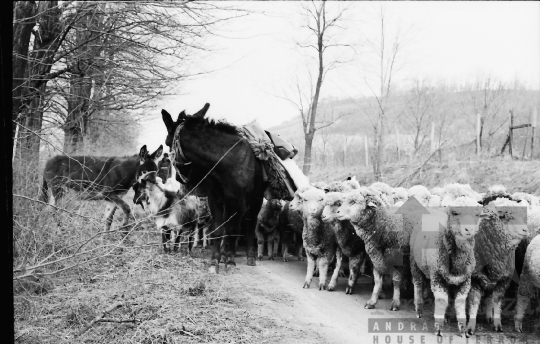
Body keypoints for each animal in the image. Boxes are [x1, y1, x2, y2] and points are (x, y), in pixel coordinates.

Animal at [161, 103, 266, 272]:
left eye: (167, 142)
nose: (178, 178)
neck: (225, 162)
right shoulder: (215, 198)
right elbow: (218, 229)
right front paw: (215, 261)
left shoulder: (238, 201)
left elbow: (233, 230)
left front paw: (230, 261)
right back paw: (224, 254)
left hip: (255, 199)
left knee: (249, 223)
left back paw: (249, 255)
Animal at [410, 196, 486, 336]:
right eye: (455, 213)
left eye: (477, 215)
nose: (469, 230)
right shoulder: (437, 277)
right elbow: (441, 301)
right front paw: (438, 329)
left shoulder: (465, 280)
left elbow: (459, 302)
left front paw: (463, 329)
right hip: (414, 262)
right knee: (418, 284)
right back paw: (419, 310)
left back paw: (447, 317)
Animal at [466, 198, 528, 334]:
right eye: (503, 216)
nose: (525, 230)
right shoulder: (474, 278)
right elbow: (474, 302)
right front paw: (470, 327)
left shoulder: (503, 280)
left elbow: (497, 300)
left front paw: (497, 324)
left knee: (489, 296)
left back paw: (489, 316)